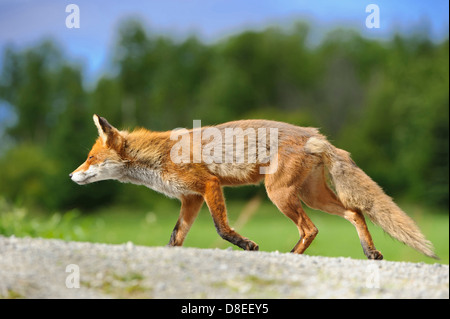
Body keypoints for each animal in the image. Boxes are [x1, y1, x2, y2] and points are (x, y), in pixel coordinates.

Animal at [69, 115, 436, 260]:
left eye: (89, 158)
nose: (71, 176)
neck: (158, 157)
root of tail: (314, 134)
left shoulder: (208, 185)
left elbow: (221, 228)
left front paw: (246, 245)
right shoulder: (190, 199)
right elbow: (175, 238)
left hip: (280, 195)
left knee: (311, 229)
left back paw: (290, 257)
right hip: (311, 196)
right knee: (355, 211)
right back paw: (370, 252)